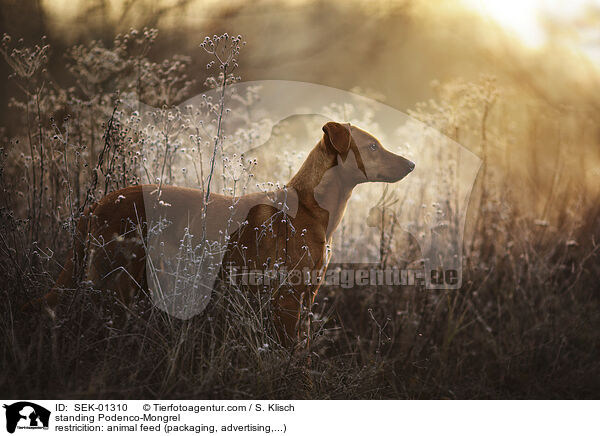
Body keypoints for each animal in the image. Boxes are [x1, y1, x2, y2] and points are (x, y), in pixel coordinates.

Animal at [44, 122, 414, 344]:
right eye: (373, 147)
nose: (412, 164)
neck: (312, 207)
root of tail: (96, 205)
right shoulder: (288, 298)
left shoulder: (305, 296)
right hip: (117, 281)